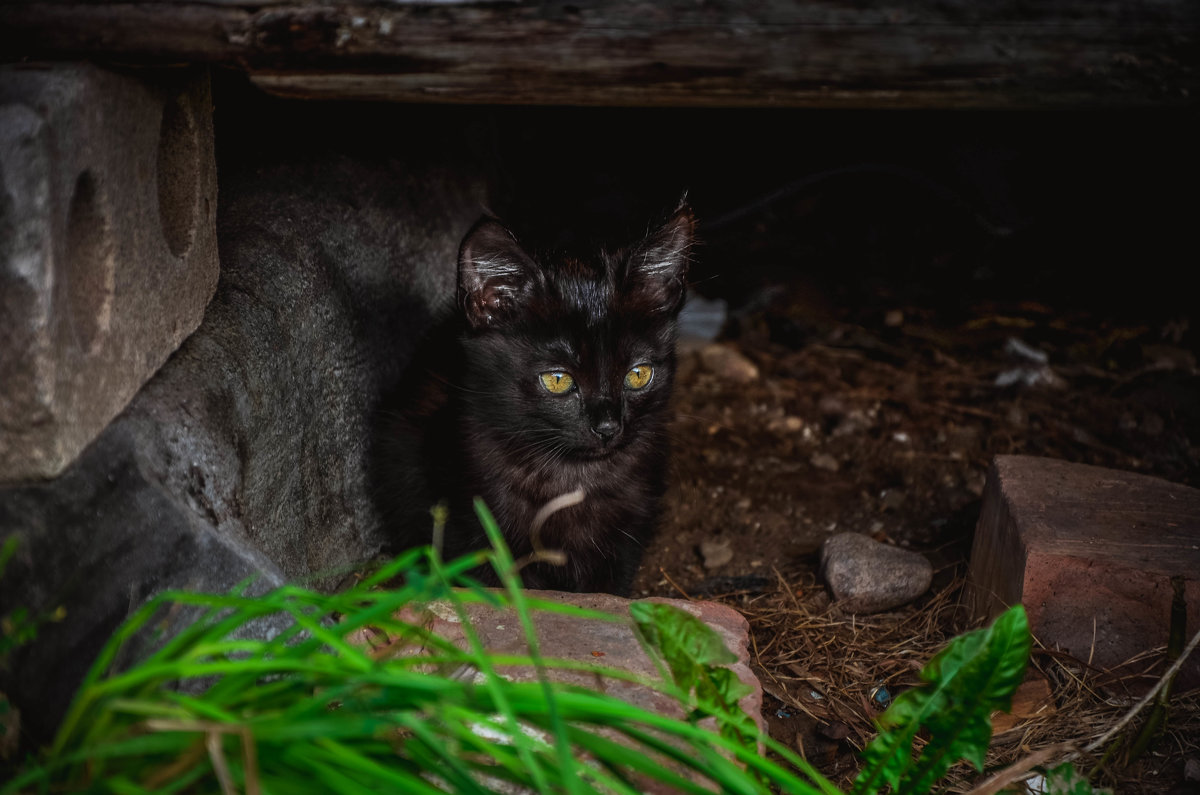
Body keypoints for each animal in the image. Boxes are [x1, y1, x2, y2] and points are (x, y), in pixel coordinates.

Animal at [379, 202, 700, 595]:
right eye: (557, 380)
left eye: (638, 375)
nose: (608, 427)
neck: (572, 477)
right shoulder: (471, 529)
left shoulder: (628, 535)